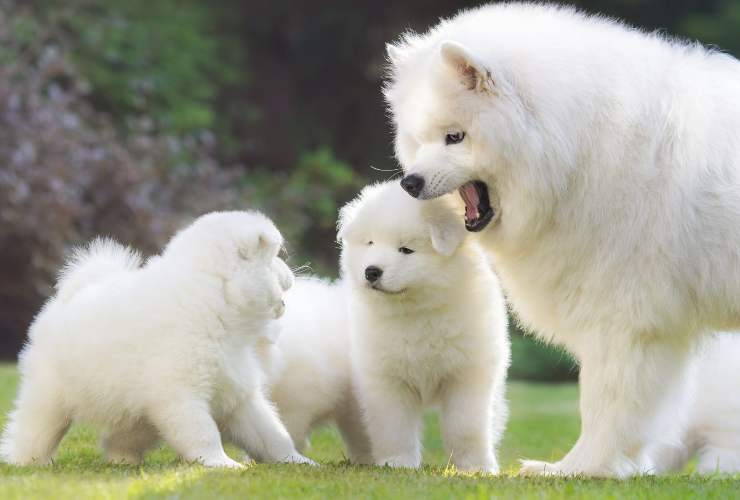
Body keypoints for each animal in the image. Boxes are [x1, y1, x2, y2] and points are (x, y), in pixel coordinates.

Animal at [0, 212, 314, 468]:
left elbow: (272, 434)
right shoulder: (182, 394)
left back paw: (123, 460)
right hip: (50, 394)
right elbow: (204, 433)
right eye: (275, 257)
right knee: (34, 428)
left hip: (139, 412)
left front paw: (298, 461)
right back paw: (23, 460)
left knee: (121, 439)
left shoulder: (239, 392)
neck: (213, 300)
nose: (292, 274)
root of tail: (71, 295)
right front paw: (220, 463)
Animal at [336, 181, 506, 472]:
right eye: (370, 243)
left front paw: (474, 468)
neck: (415, 312)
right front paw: (397, 463)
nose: (371, 271)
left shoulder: (467, 375)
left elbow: (466, 427)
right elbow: (394, 427)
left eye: (405, 249)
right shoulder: (386, 380)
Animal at [384, 2, 740, 476]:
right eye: (418, 139)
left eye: (455, 136)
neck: (578, 149)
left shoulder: (624, 319)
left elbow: (605, 405)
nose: (410, 182)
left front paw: (578, 468)